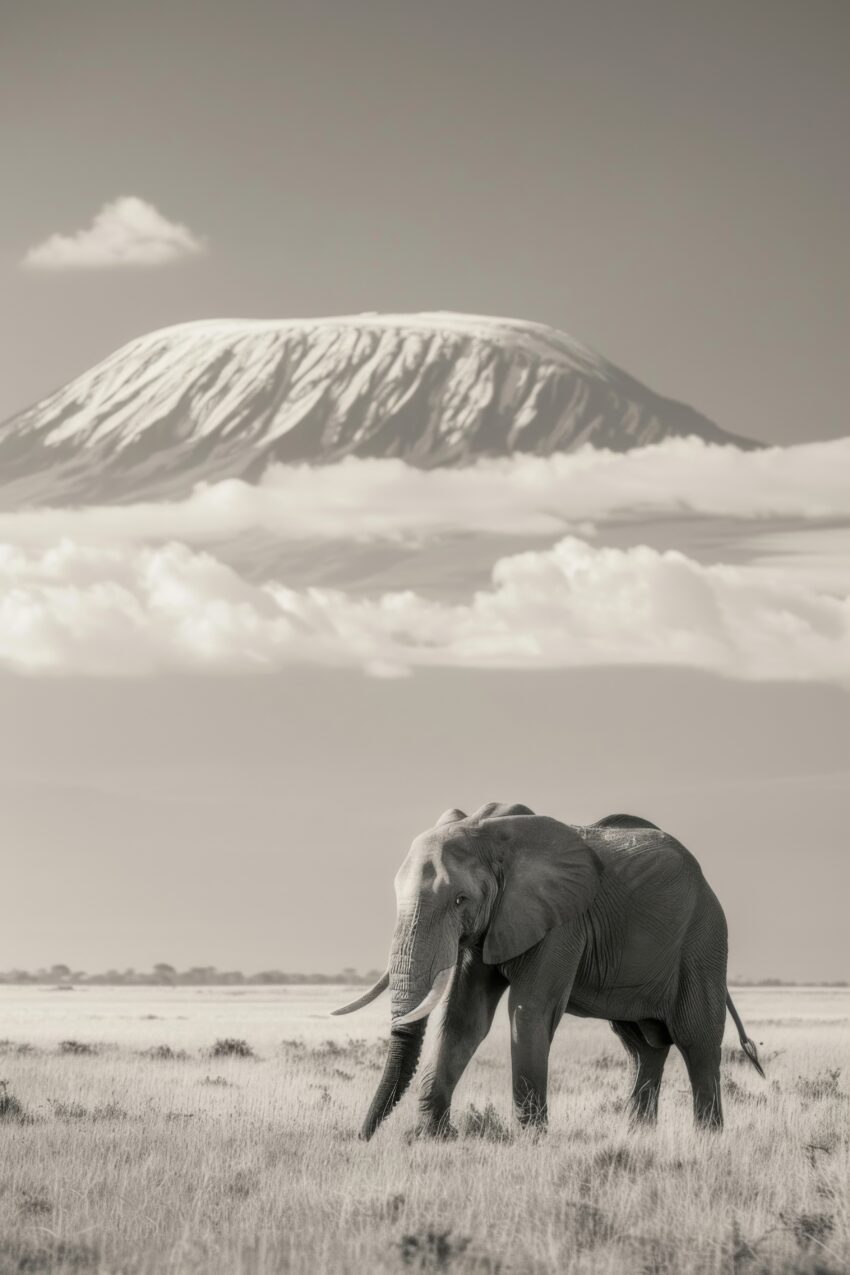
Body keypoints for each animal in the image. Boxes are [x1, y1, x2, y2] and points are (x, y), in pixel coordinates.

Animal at [334, 803, 764, 1141]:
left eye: (460, 899)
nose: (362, 1137)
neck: (489, 830)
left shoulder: (562, 922)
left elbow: (530, 1011)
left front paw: (532, 1140)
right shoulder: (490, 927)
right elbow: (465, 1020)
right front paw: (433, 1137)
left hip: (702, 940)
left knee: (696, 1039)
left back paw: (706, 1139)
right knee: (643, 1046)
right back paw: (637, 1135)